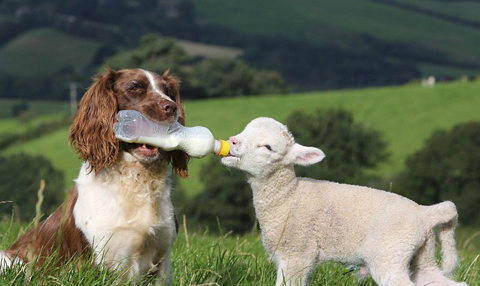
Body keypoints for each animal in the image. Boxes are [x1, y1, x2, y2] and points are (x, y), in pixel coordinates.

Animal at [0, 67, 189, 282]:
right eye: (134, 87)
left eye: (168, 91)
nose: (171, 108)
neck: (136, 180)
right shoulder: (102, 259)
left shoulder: (162, 258)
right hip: (10, 260)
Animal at [222, 117, 468, 286]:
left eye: (267, 147)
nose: (232, 141)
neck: (288, 197)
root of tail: (425, 213)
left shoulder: (297, 253)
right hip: (420, 255)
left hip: (389, 251)